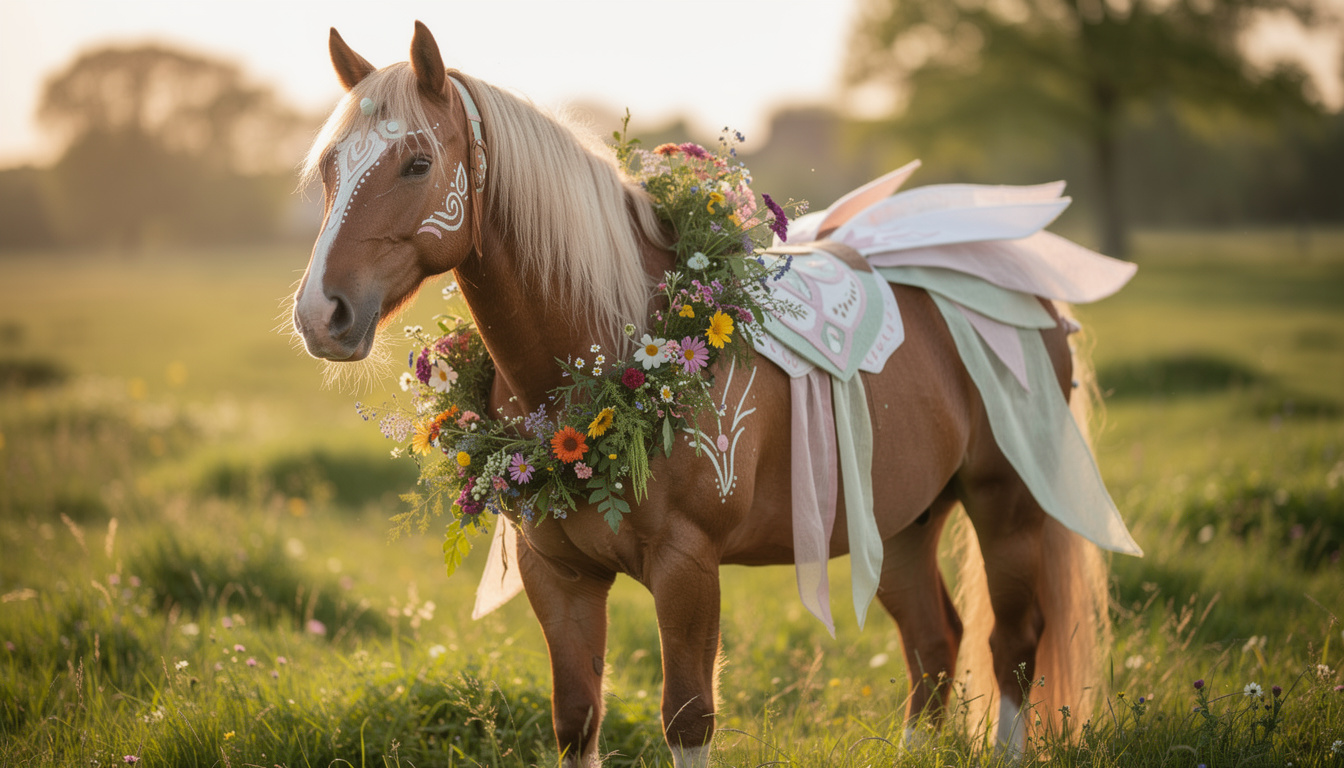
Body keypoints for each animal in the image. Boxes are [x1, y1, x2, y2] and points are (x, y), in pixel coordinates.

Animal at [292, 21, 1130, 767]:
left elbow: (687, 719)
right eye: (330, 166)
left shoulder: (687, 567)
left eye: (416, 162)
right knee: (934, 645)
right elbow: (576, 718)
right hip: (899, 524)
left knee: (1011, 644)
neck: (616, 343)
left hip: (1007, 503)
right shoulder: (556, 576)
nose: (319, 314)